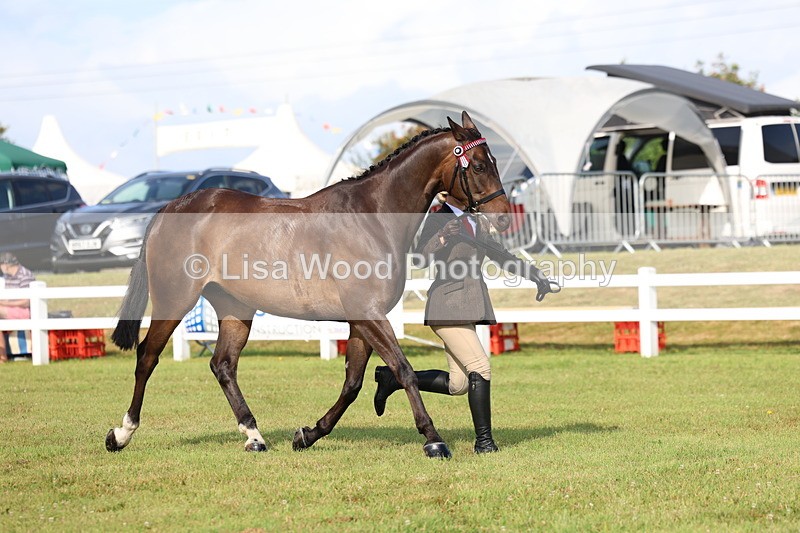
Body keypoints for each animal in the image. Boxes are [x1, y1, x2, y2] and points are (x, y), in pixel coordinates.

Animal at [105, 111, 511, 459]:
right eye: (479, 165)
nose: (504, 218)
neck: (371, 218)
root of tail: (170, 208)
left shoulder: (362, 320)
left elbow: (353, 384)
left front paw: (308, 434)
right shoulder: (368, 315)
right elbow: (403, 370)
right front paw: (433, 439)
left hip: (235, 308)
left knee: (223, 364)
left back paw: (254, 436)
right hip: (174, 299)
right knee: (148, 356)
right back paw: (121, 433)